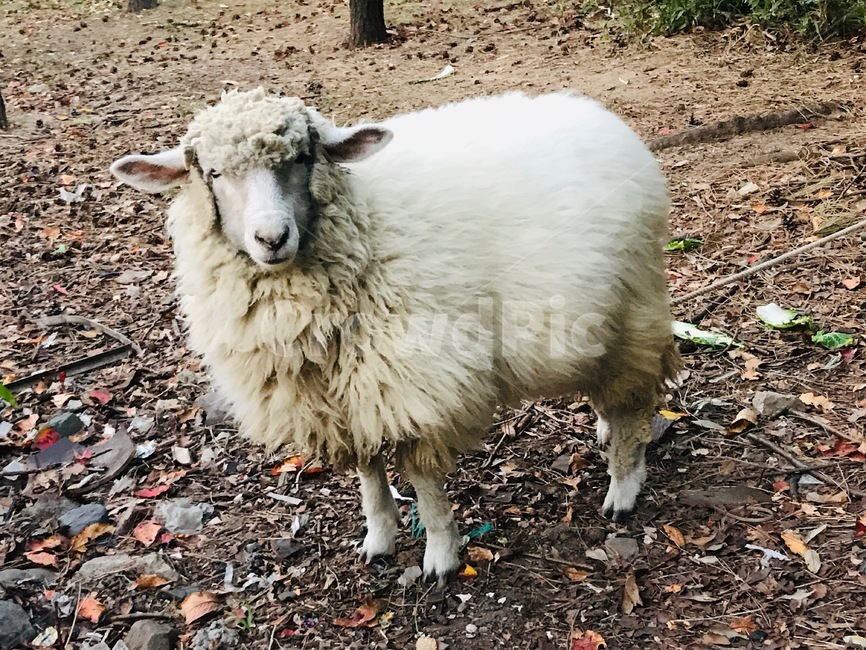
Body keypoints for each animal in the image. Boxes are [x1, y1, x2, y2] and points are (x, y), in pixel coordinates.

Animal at [110, 88, 679, 581]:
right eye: (212, 173)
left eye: (302, 158)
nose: (271, 238)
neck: (365, 229)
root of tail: (602, 116)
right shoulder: (343, 396)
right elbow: (368, 474)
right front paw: (379, 539)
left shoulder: (408, 380)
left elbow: (423, 482)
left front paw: (441, 555)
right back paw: (606, 433)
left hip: (632, 307)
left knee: (633, 401)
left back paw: (624, 484)